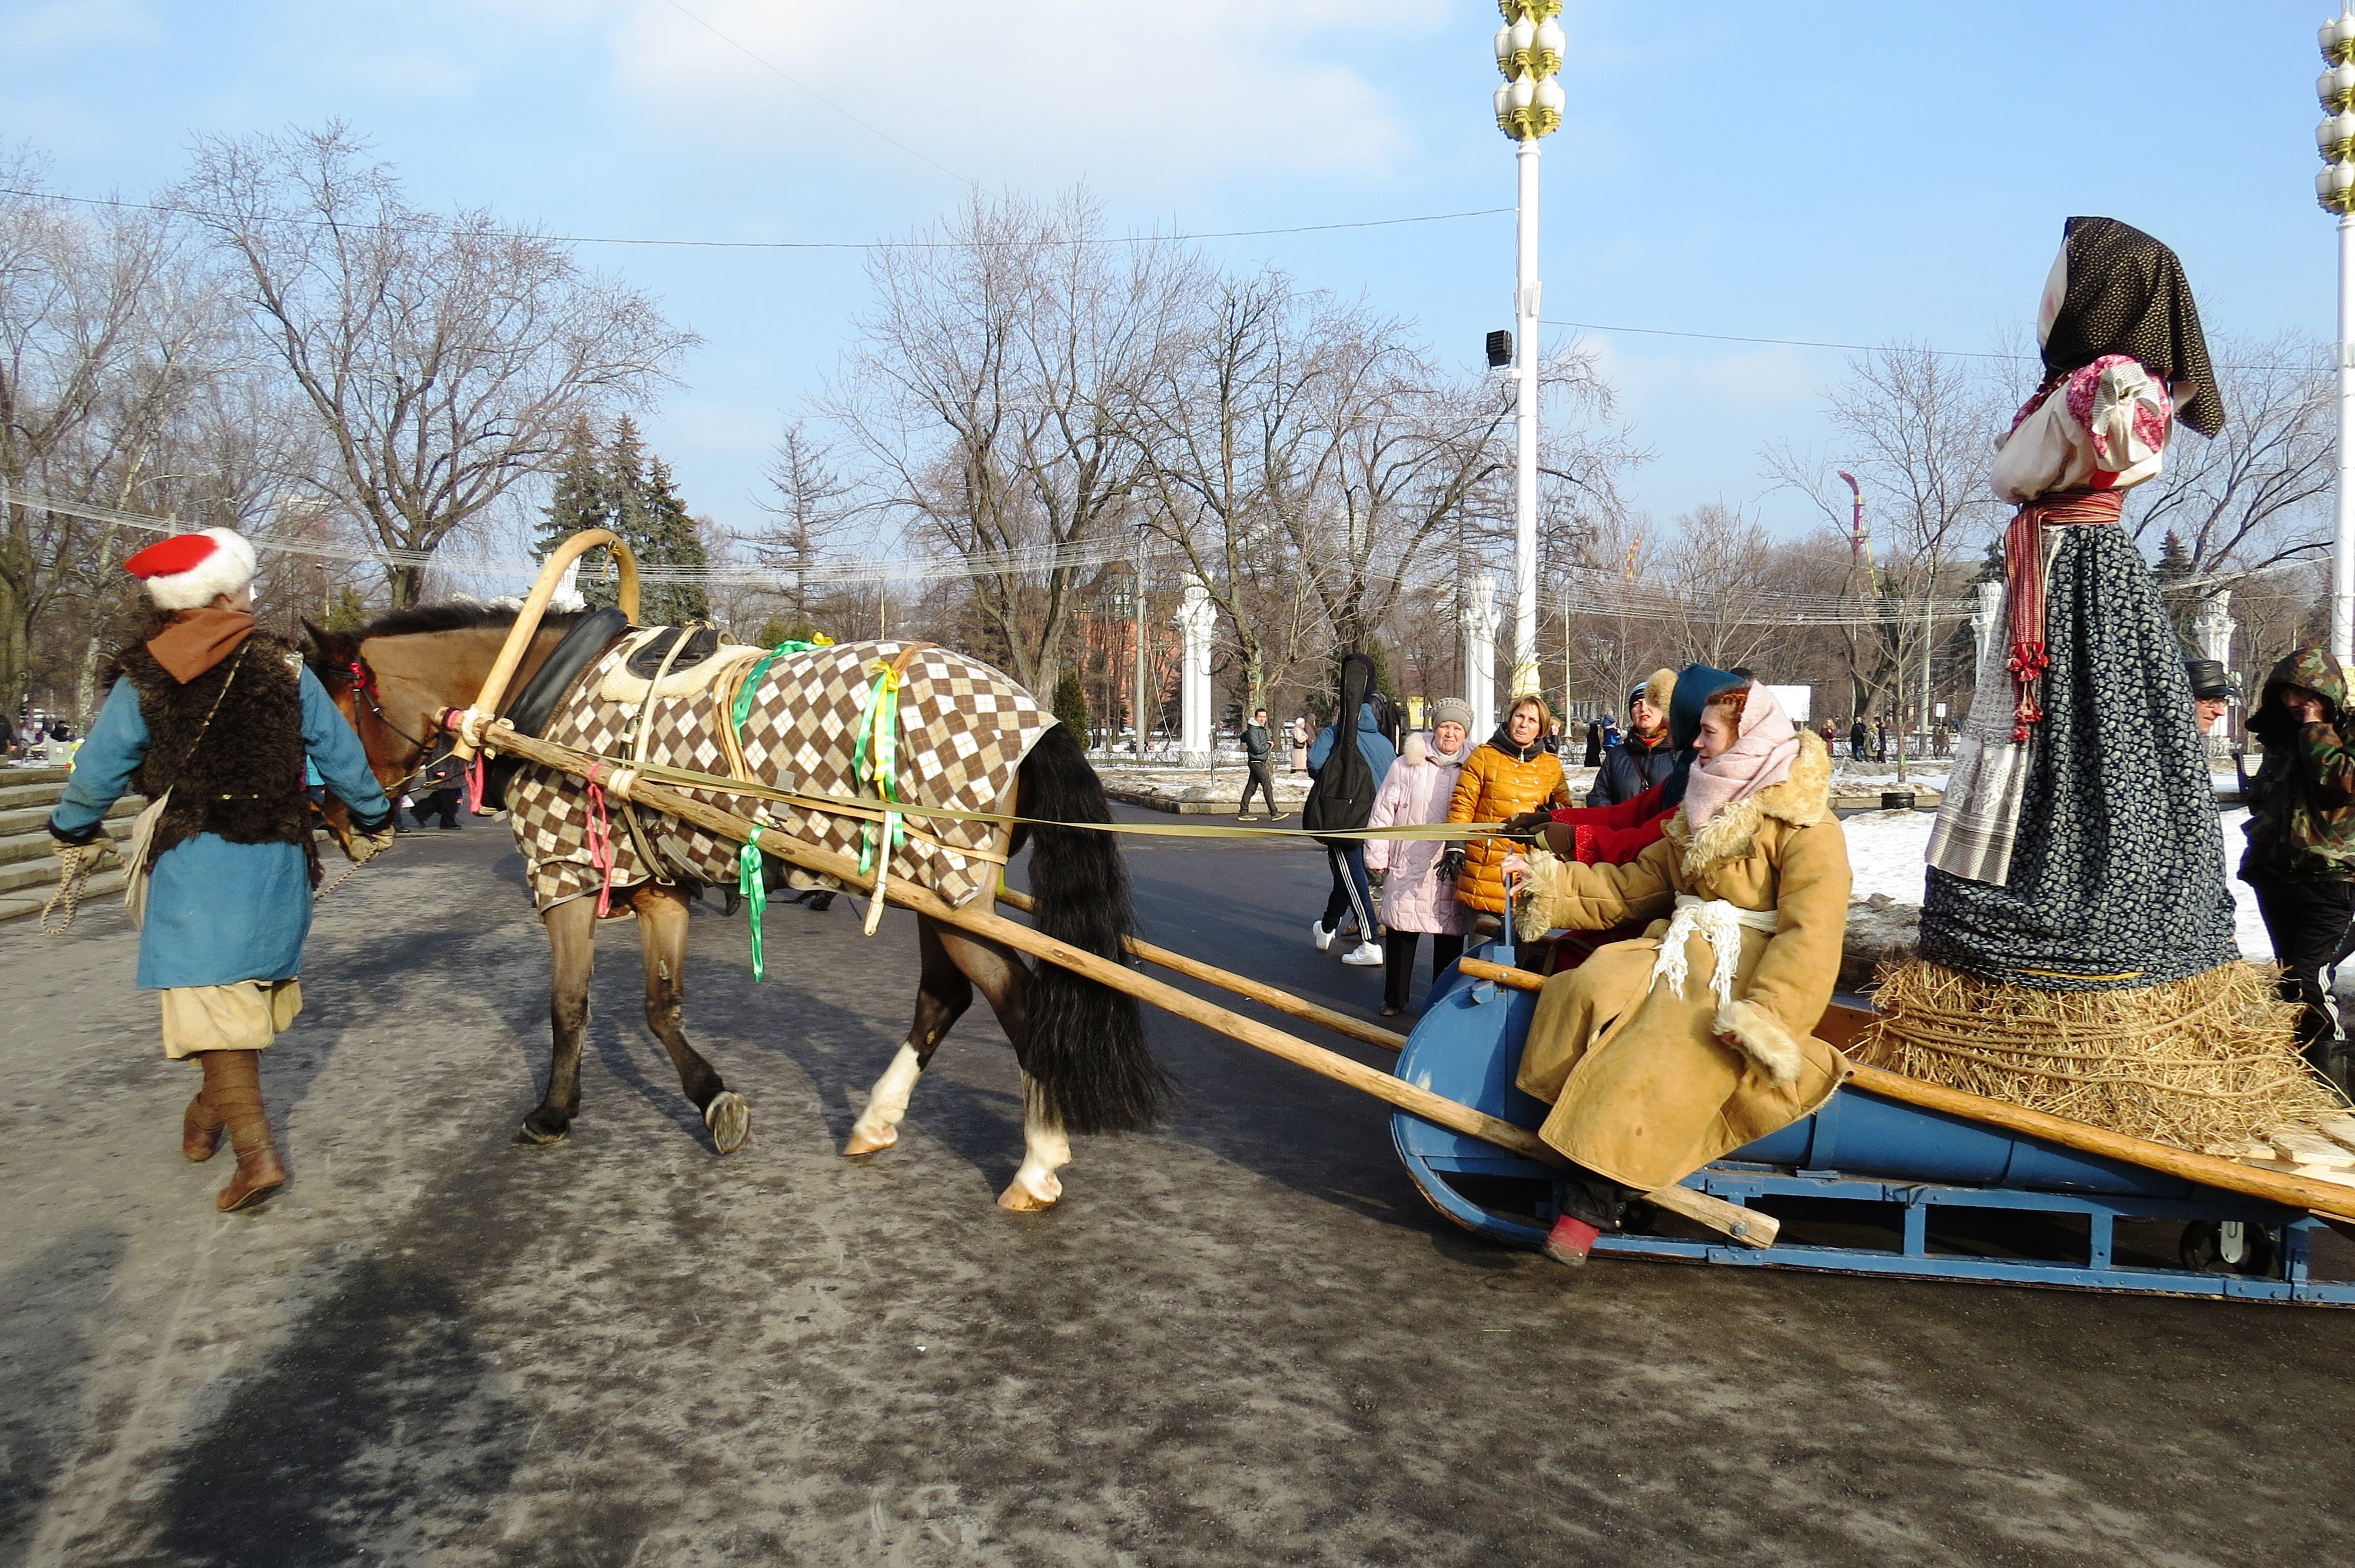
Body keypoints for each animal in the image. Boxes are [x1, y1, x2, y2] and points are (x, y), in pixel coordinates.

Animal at [304, 600, 1168, 1205]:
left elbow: (568, 1003)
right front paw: (712, 1098)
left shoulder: (564, 869)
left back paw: (1039, 1161)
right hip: (934, 889)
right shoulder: (658, 886)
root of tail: (1038, 718)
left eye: (320, 719)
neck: (546, 692)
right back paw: (877, 1121)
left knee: (1018, 1001)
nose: (335, 824)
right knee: (944, 996)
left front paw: (551, 1113)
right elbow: (660, 1007)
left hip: (950, 890)